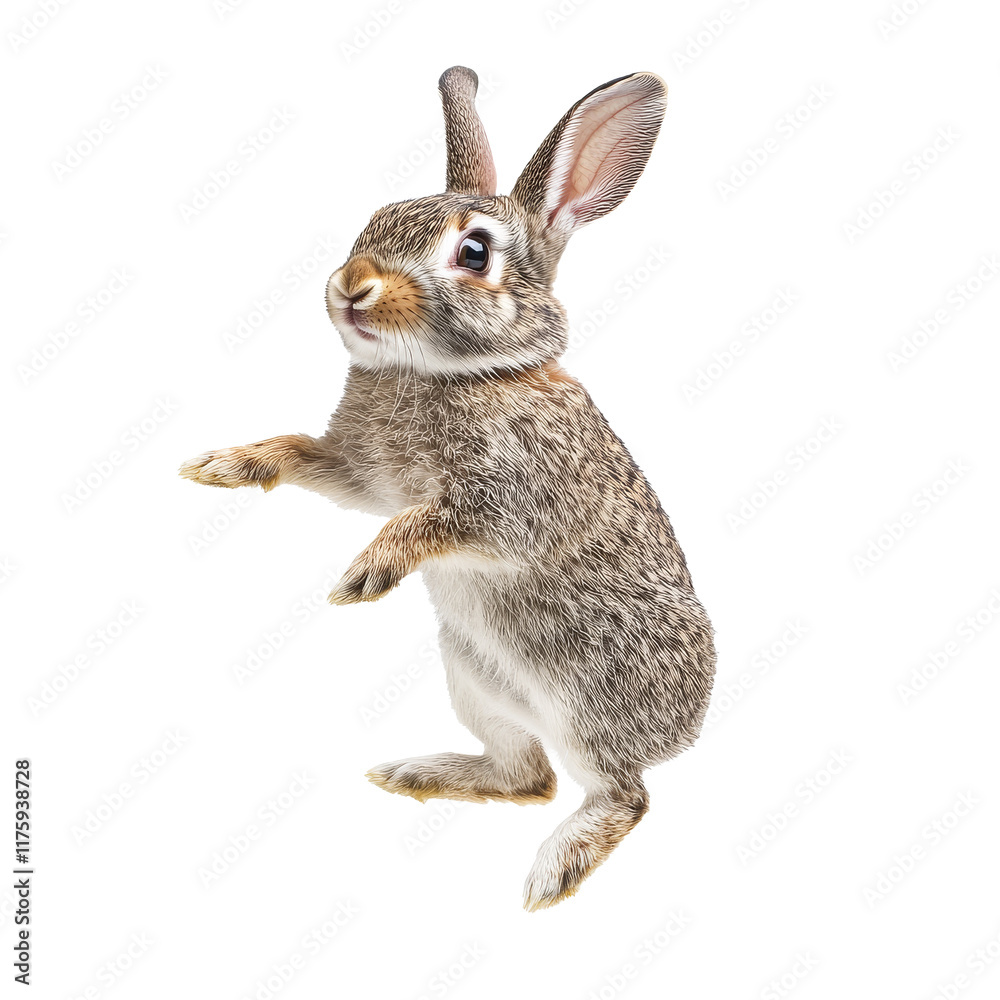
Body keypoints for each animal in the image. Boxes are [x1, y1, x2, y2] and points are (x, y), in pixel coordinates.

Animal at [179, 65, 715, 911]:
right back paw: (419, 774)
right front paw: (227, 464)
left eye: (473, 251)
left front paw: (363, 575)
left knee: (620, 795)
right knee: (528, 776)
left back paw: (555, 871)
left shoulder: (508, 502)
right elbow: (307, 456)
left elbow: (431, 524)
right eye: (375, 220)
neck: (455, 373)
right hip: (474, 684)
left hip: (586, 703)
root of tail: (686, 729)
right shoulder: (361, 475)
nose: (351, 286)